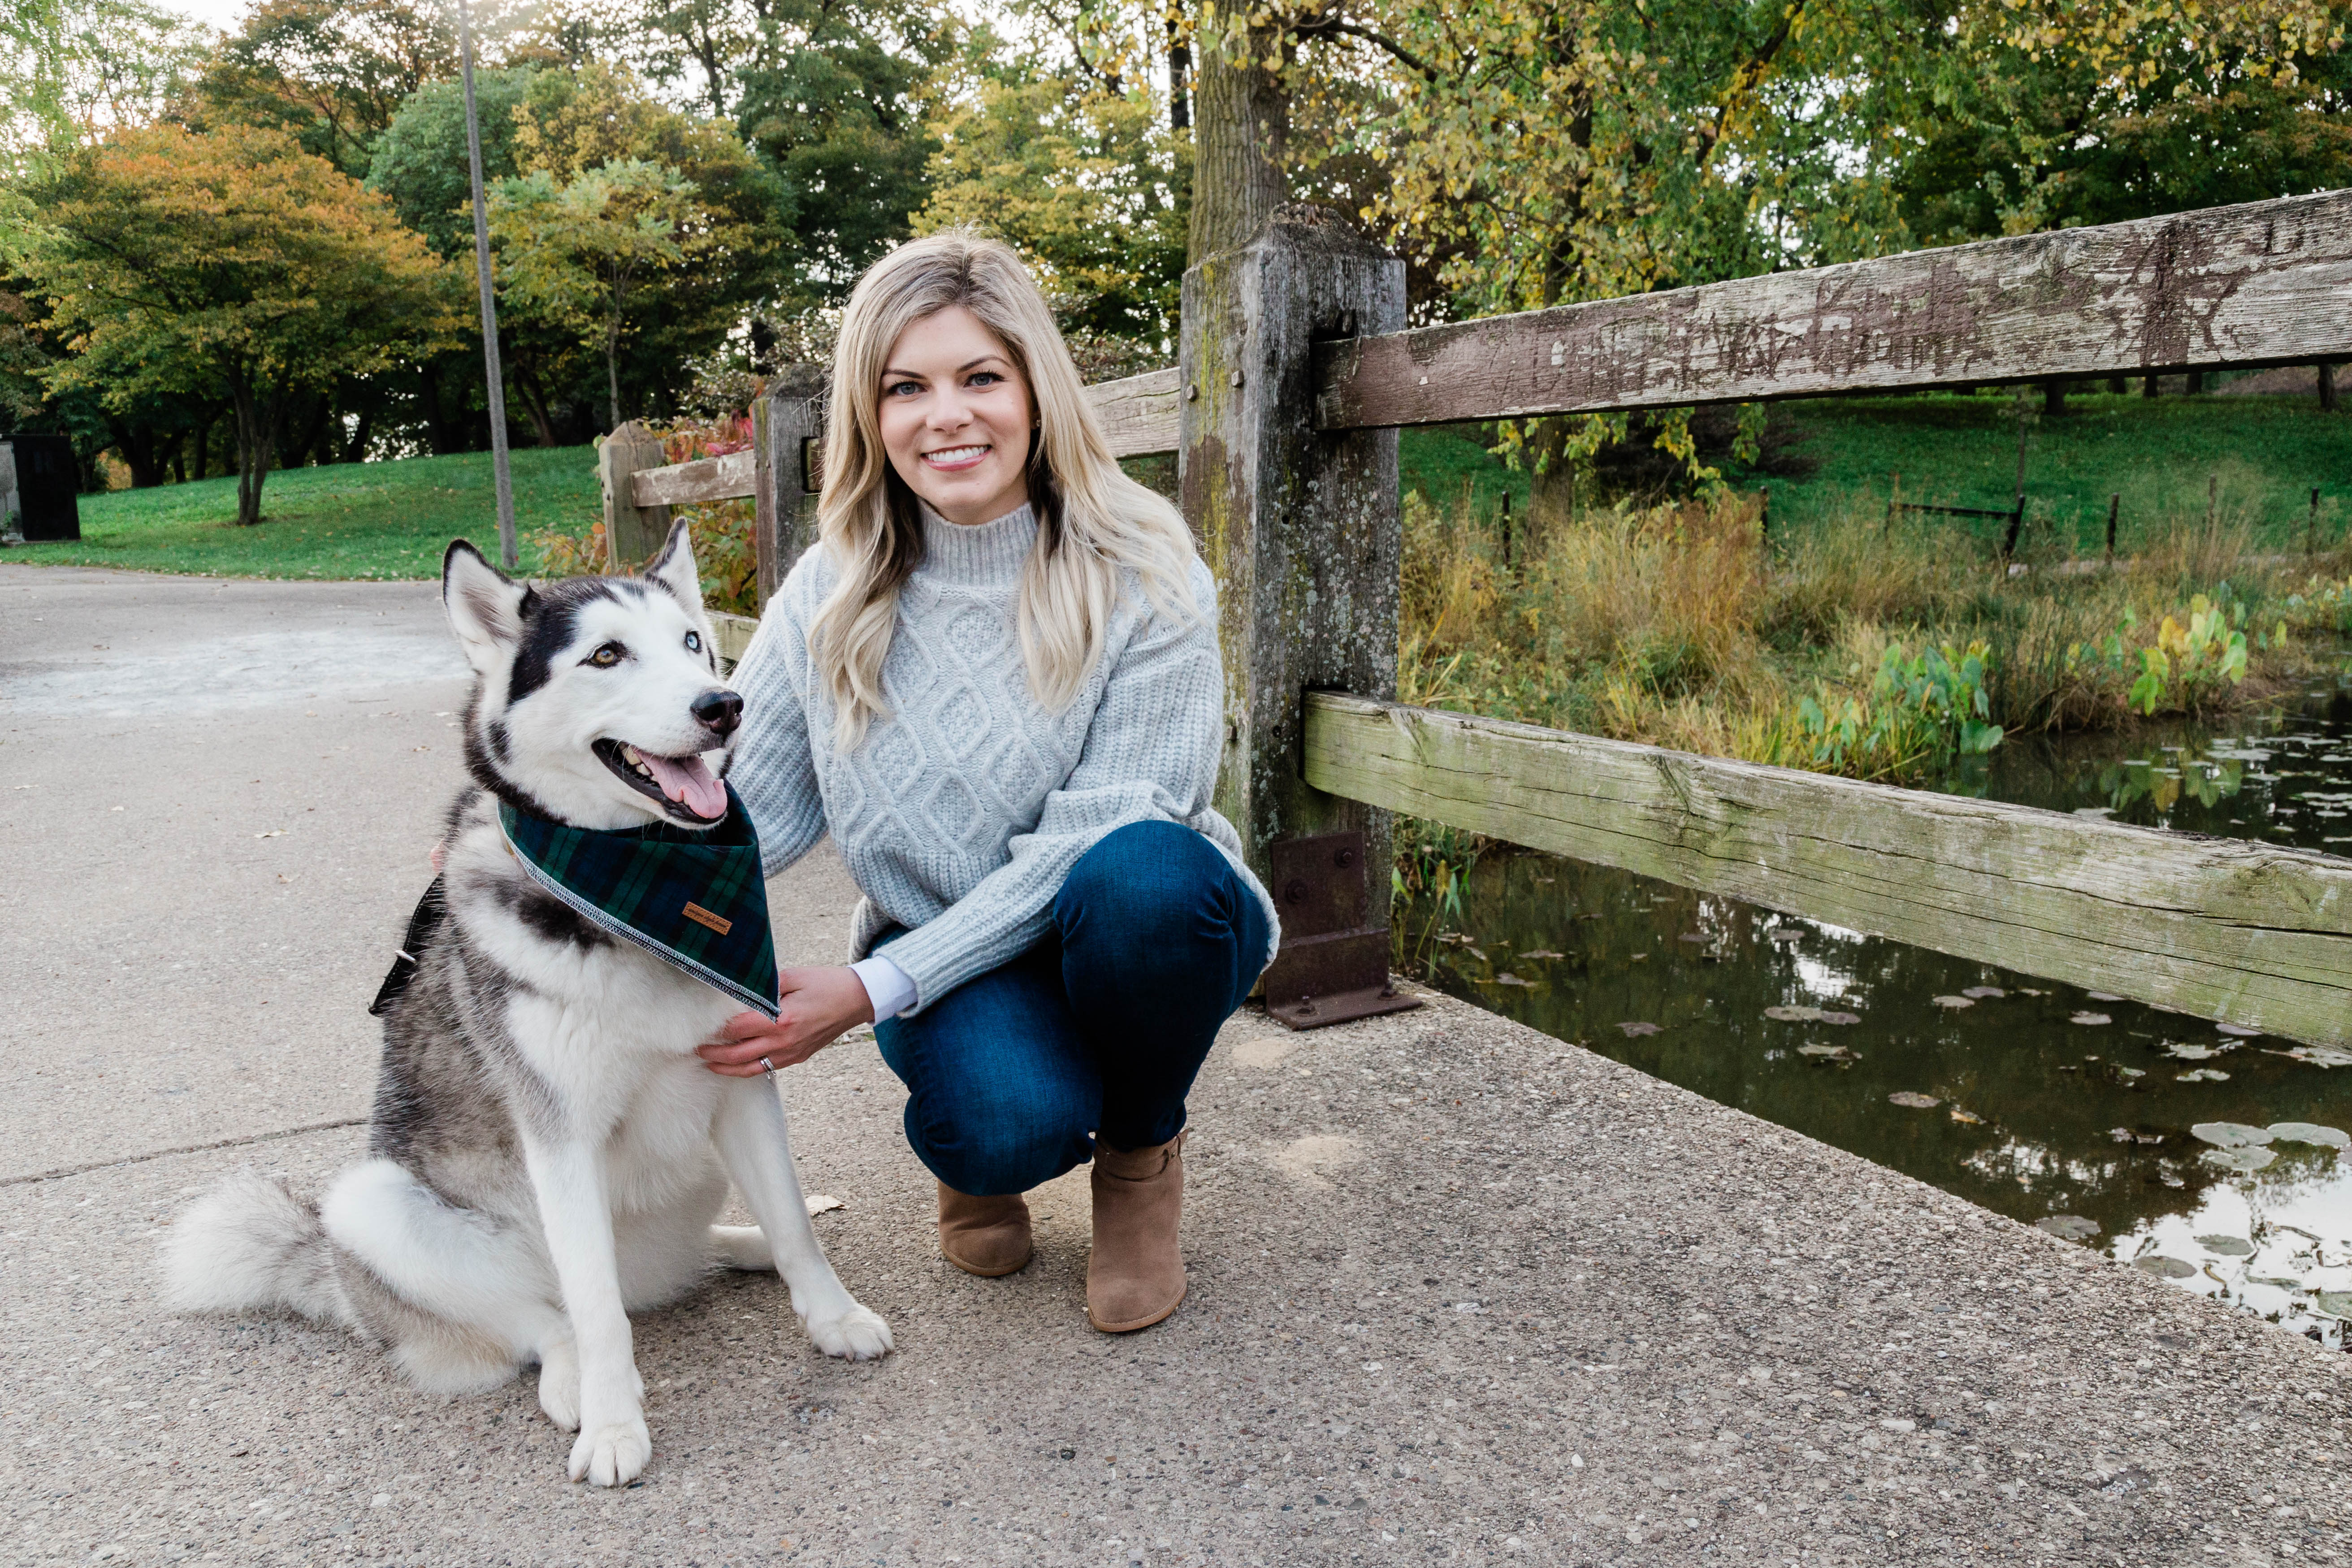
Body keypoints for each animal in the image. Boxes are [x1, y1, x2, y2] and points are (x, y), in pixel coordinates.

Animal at [161, 524, 884, 1486]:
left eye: (692, 642)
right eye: (607, 654)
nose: (724, 704)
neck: (632, 900)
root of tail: (344, 1284)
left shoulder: (742, 1081)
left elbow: (798, 1221)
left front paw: (831, 1312)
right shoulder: (560, 1137)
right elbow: (595, 1311)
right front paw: (613, 1427)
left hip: (691, 1176)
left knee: (686, 1257)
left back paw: (743, 1244)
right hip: (371, 1205)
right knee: (550, 1317)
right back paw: (575, 1378)